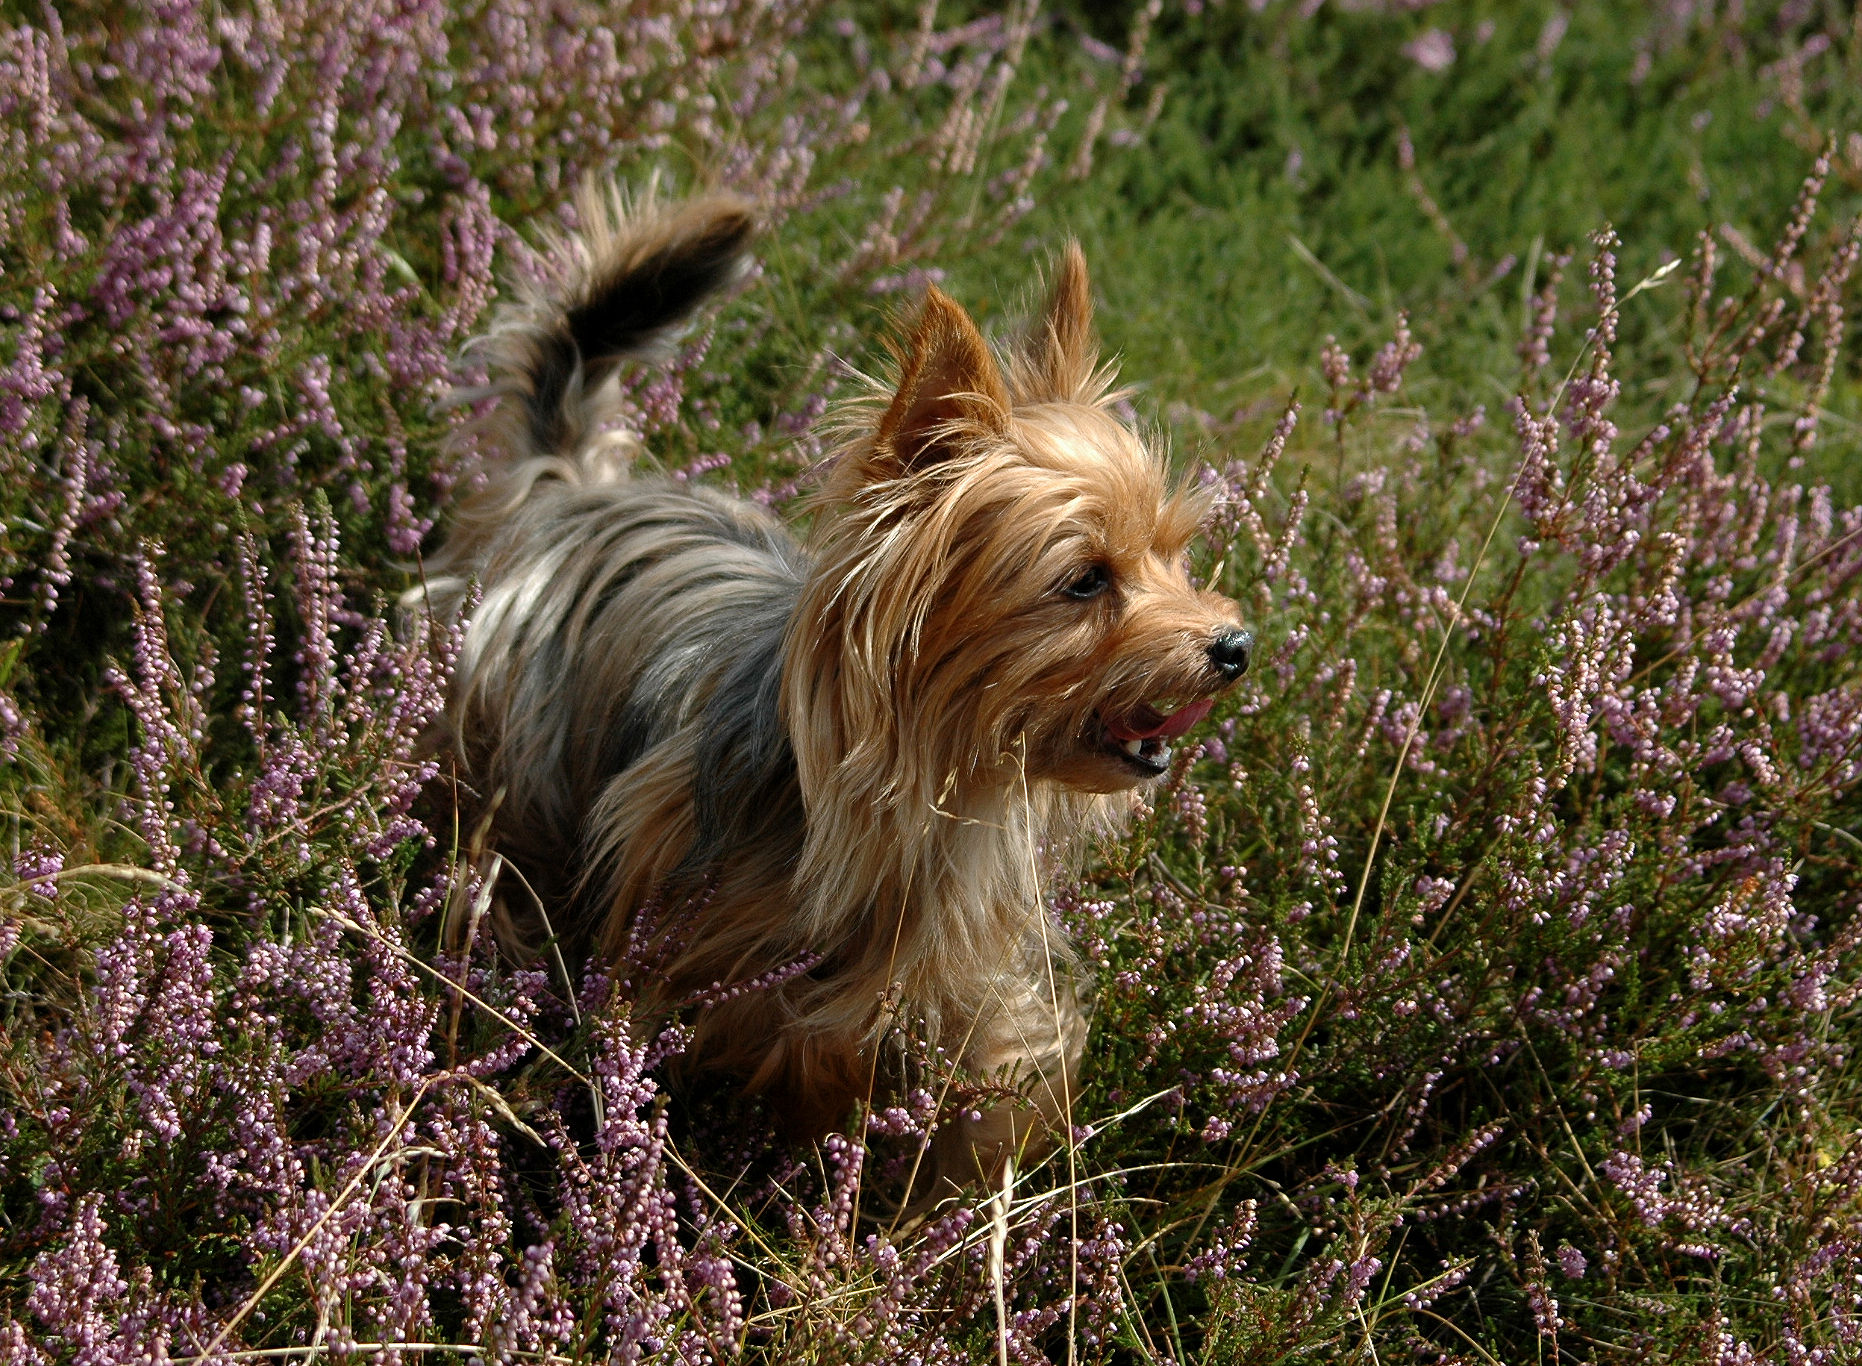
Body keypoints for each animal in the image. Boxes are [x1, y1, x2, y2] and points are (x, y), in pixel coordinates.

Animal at [422, 187, 1258, 1191]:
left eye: (1176, 555)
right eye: (1086, 581)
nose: (1235, 645)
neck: (936, 785)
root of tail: (570, 487)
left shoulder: (971, 964)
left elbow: (997, 1068)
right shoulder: (691, 931)